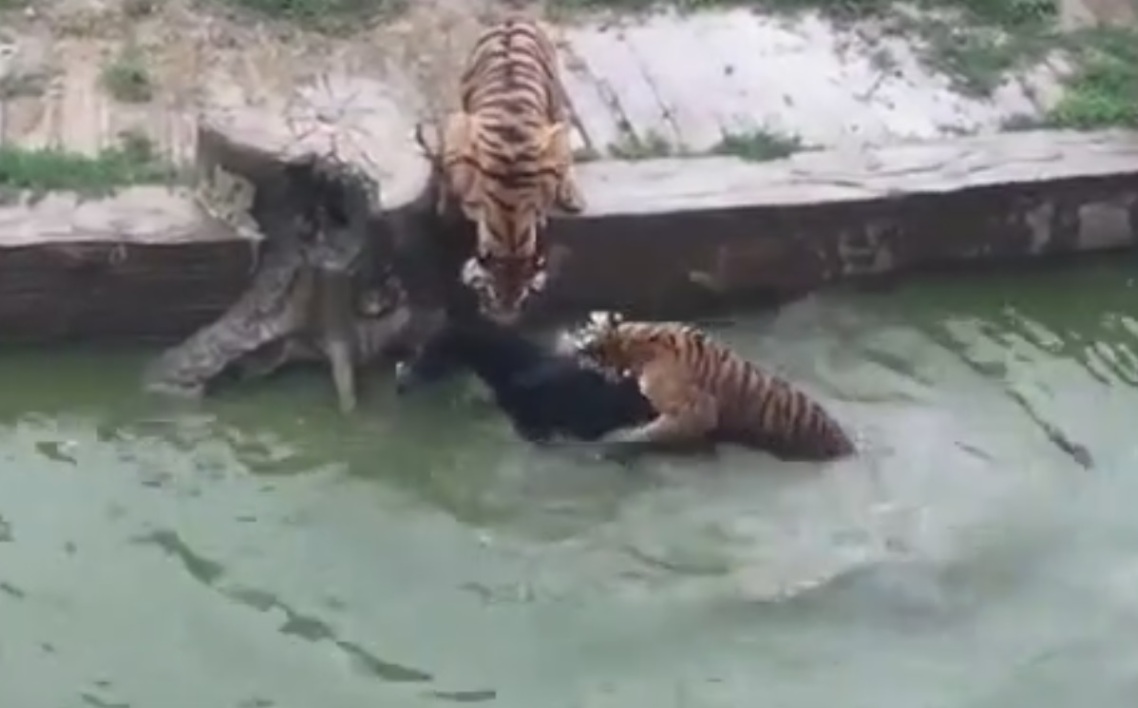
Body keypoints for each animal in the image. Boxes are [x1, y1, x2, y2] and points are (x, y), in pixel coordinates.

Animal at [415, 16, 586, 325]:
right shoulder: (459, 129)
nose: (504, 319)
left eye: (522, 296)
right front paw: (444, 206)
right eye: (492, 293)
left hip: (554, 107)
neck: (510, 221)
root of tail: (511, 20)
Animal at [556, 311, 856, 461]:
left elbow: (650, 431)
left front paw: (620, 439)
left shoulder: (694, 408)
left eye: (583, 330)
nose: (563, 338)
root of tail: (850, 448)